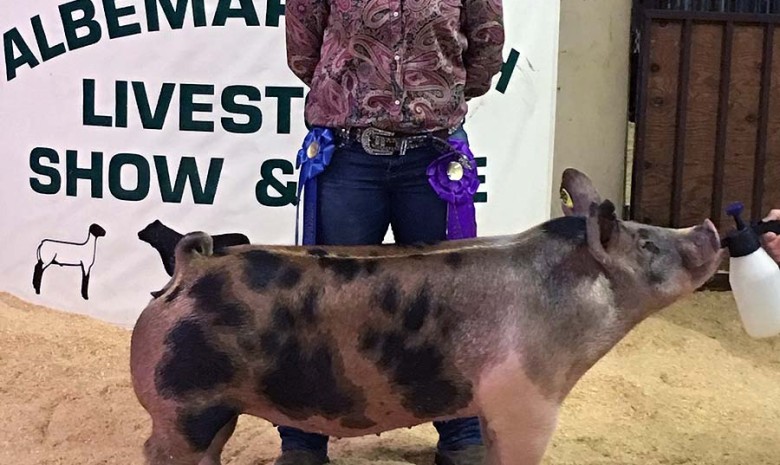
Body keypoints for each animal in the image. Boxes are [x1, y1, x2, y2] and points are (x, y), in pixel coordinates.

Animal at [129, 167, 724, 464]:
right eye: (647, 244)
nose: (708, 227)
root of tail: (189, 268)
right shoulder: (525, 398)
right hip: (179, 406)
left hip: (212, 411)